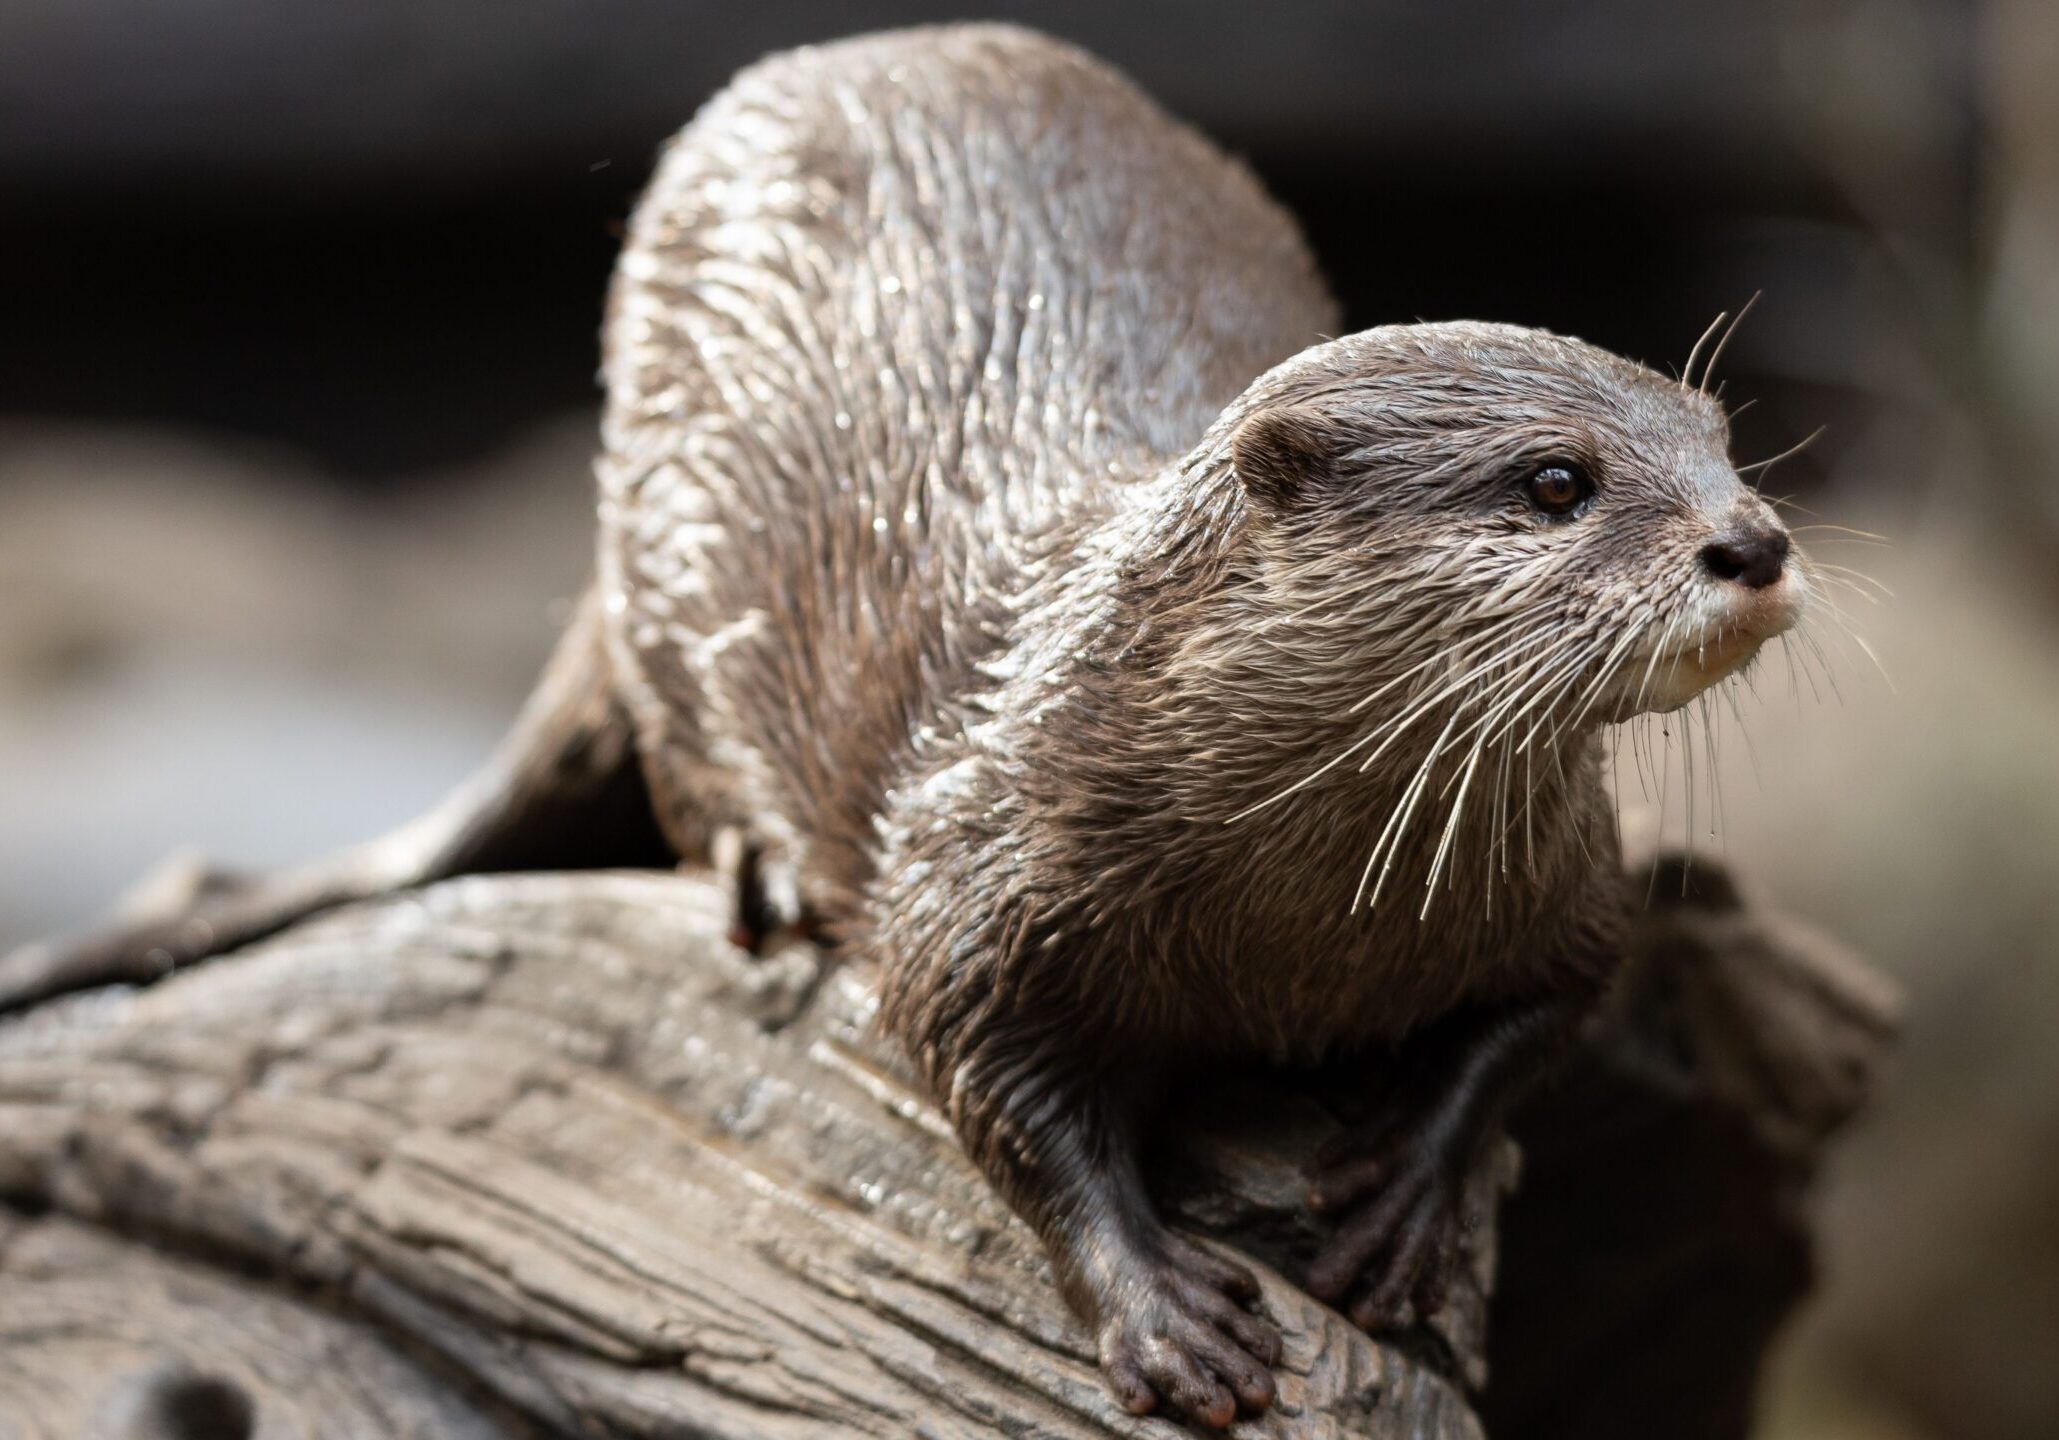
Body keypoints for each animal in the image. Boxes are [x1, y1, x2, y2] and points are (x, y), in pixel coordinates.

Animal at [0, 25, 1811, 1433]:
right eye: (1556, 480)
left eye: (1721, 441)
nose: (1754, 541)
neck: (1307, 922)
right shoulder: (979, 869)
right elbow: (988, 1078)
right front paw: (1157, 1307)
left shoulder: (1564, 870)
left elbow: (1555, 1003)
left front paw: (1409, 1191)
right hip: (658, 544)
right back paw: (754, 876)